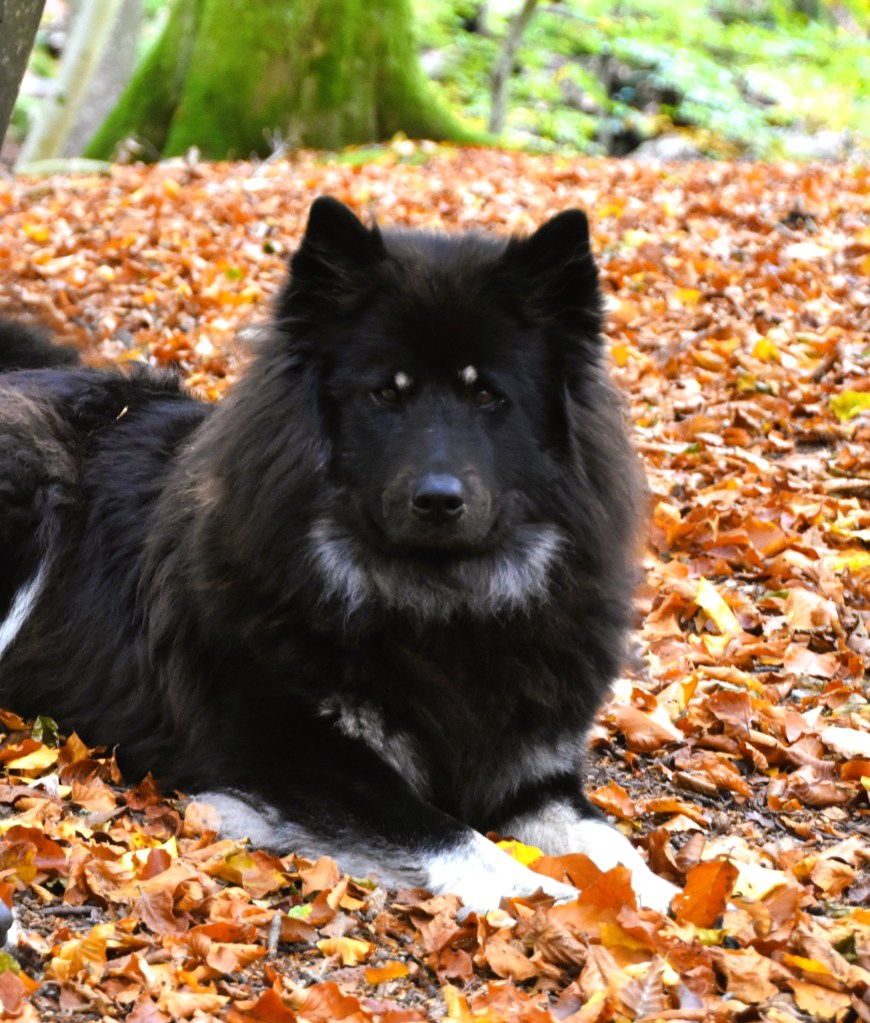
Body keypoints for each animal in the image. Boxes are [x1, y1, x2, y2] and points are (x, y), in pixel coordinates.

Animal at [0, 198, 677, 915]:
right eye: (387, 394)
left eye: (487, 395)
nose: (439, 500)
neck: (439, 608)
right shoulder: (301, 759)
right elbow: (467, 844)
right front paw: (559, 899)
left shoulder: (533, 774)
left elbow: (610, 843)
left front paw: (674, 897)